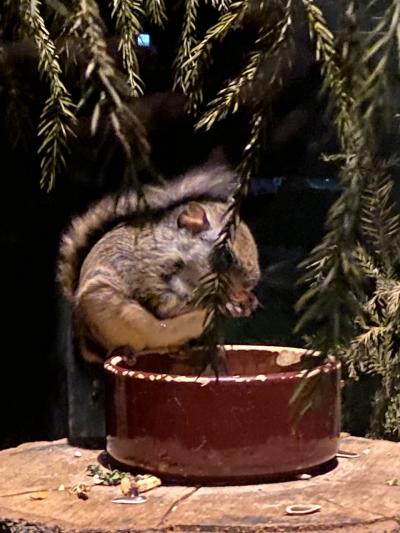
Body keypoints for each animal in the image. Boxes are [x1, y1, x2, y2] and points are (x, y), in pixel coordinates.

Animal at [57, 162, 260, 362]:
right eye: (226, 255)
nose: (249, 285)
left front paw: (249, 302)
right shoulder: (151, 277)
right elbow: (171, 306)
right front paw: (226, 303)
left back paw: (185, 350)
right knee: (105, 352)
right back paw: (123, 351)